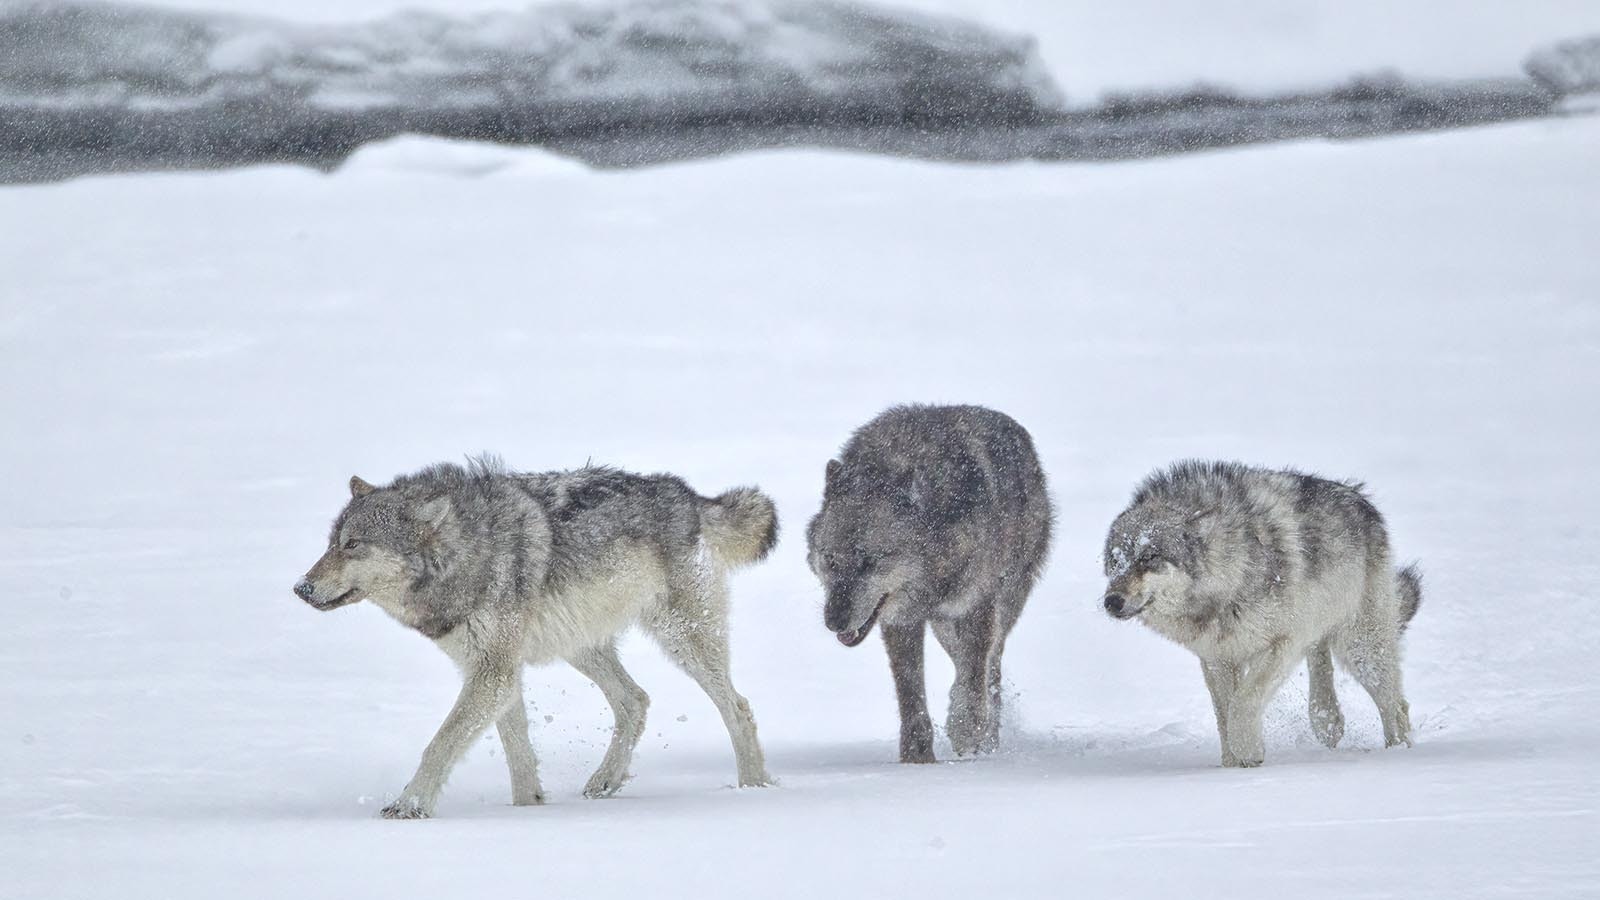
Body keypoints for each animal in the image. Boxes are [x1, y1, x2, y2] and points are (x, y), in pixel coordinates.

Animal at [299, 458, 780, 816]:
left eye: (353, 545)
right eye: (330, 543)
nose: (300, 588)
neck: (464, 555)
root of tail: (691, 496)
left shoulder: (491, 673)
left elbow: (440, 744)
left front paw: (408, 806)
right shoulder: (497, 671)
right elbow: (518, 754)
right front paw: (527, 811)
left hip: (682, 639)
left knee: (737, 706)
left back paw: (753, 789)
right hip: (580, 644)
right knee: (636, 699)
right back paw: (605, 780)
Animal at [806, 403, 1056, 759]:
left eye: (870, 562)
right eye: (830, 559)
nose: (834, 621)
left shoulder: (975, 605)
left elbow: (973, 674)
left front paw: (968, 731)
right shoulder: (901, 620)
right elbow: (911, 695)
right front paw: (917, 758)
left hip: (1003, 603)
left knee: (990, 667)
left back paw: (989, 737)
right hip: (943, 625)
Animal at [1100, 461, 1427, 762]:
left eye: (1149, 557)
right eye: (1115, 561)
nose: (1112, 601)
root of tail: (1362, 499)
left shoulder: (1281, 644)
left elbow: (1243, 704)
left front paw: (1249, 752)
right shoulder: (1217, 657)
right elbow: (1224, 715)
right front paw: (1231, 765)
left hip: (1360, 647)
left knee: (1395, 706)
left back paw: (1396, 753)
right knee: (1321, 662)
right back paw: (1328, 721)